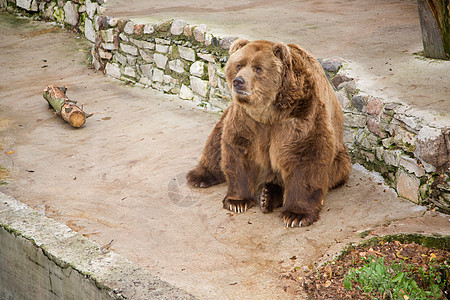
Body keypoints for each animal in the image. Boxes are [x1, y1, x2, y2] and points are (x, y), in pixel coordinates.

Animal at [186, 39, 352, 227]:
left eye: (258, 68)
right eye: (239, 65)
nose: (238, 81)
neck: (270, 111)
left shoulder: (303, 113)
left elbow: (306, 156)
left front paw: (296, 215)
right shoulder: (247, 119)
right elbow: (238, 148)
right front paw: (237, 201)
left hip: (340, 162)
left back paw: (268, 196)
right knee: (216, 142)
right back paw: (200, 176)